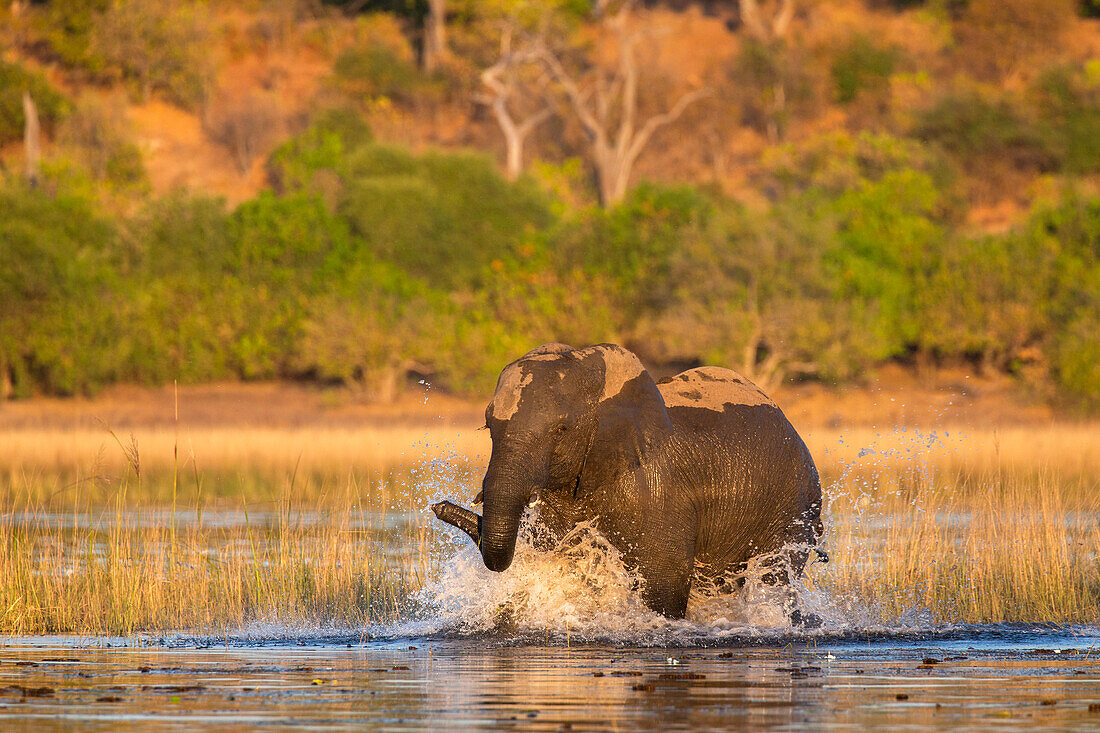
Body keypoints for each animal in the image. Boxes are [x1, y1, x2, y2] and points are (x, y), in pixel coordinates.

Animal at [433, 343, 822, 616]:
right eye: (488, 427)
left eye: (560, 430)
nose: (439, 506)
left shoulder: (659, 489)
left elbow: (663, 583)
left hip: (795, 508)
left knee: (774, 579)